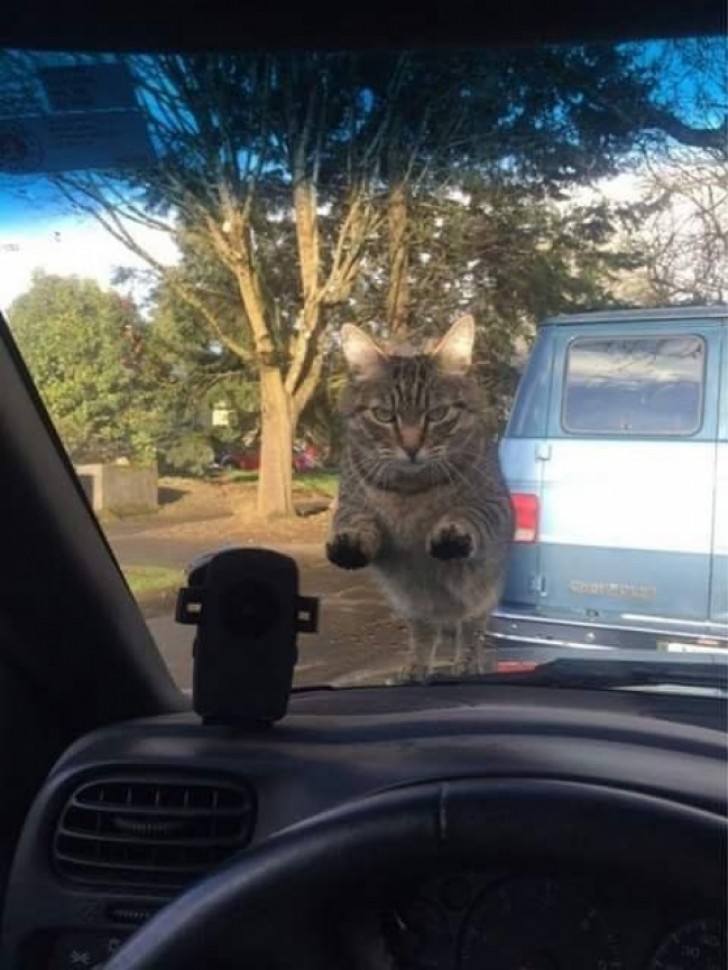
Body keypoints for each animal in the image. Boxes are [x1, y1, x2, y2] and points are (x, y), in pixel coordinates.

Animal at [328, 314, 516, 676]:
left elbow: (467, 515)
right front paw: (349, 541)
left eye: (439, 414)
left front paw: (451, 532)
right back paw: (415, 668)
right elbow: (355, 521)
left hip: (481, 594)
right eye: (384, 415)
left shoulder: (493, 505)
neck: (410, 491)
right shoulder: (351, 503)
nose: (412, 447)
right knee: (423, 631)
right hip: (411, 601)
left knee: (470, 629)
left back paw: (465, 666)